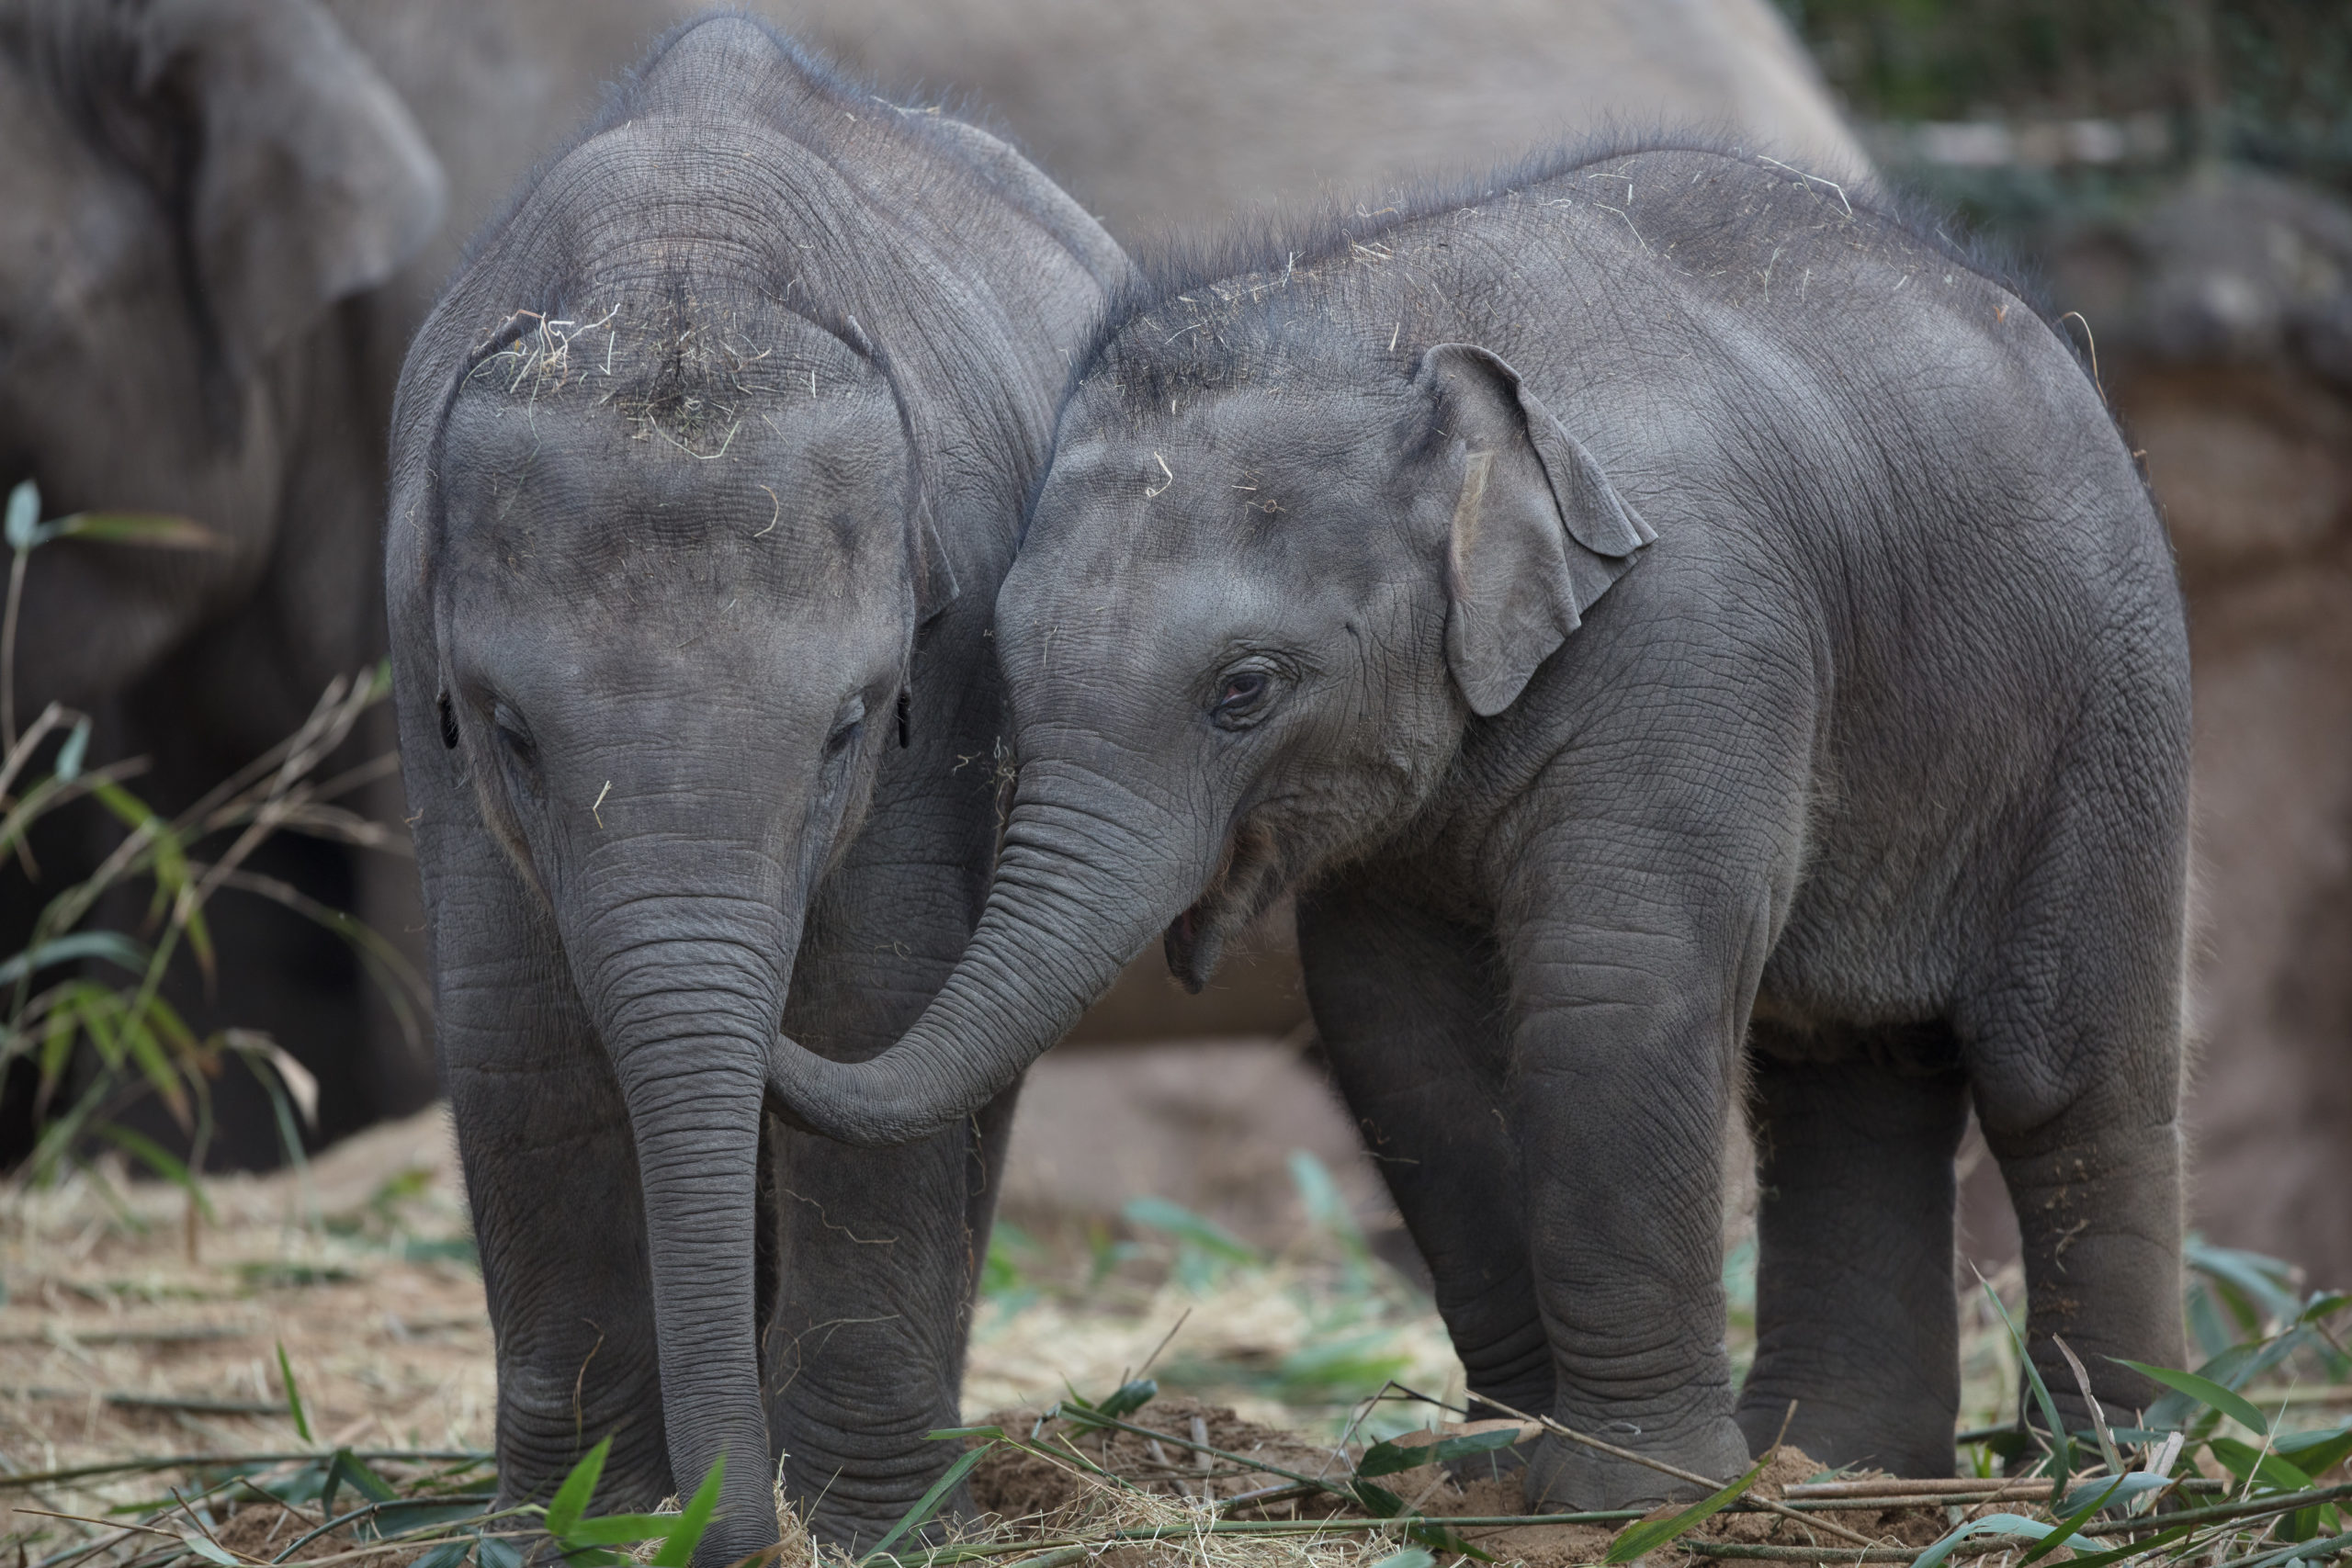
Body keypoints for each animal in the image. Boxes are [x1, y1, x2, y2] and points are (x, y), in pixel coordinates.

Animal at [383, 17, 1124, 1559]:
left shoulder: (956, 642)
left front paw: (864, 1528)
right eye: (508, 731)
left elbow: (877, 993)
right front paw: (572, 1523)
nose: (727, 1517)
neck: (683, 256)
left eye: (852, 725)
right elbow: (516, 1022)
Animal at [765, 144, 2193, 1499]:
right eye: (995, 667)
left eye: (1245, 690)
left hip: (2105, 709)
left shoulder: (1695, 631)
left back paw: (2114, 1473)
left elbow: (1612, 992)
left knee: (2064, 1076)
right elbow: (1396, 1031)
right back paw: (1839, 1467)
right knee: (1844, 1074)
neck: (1391, 316)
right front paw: (1504, 1464)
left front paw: (1626, 1493)